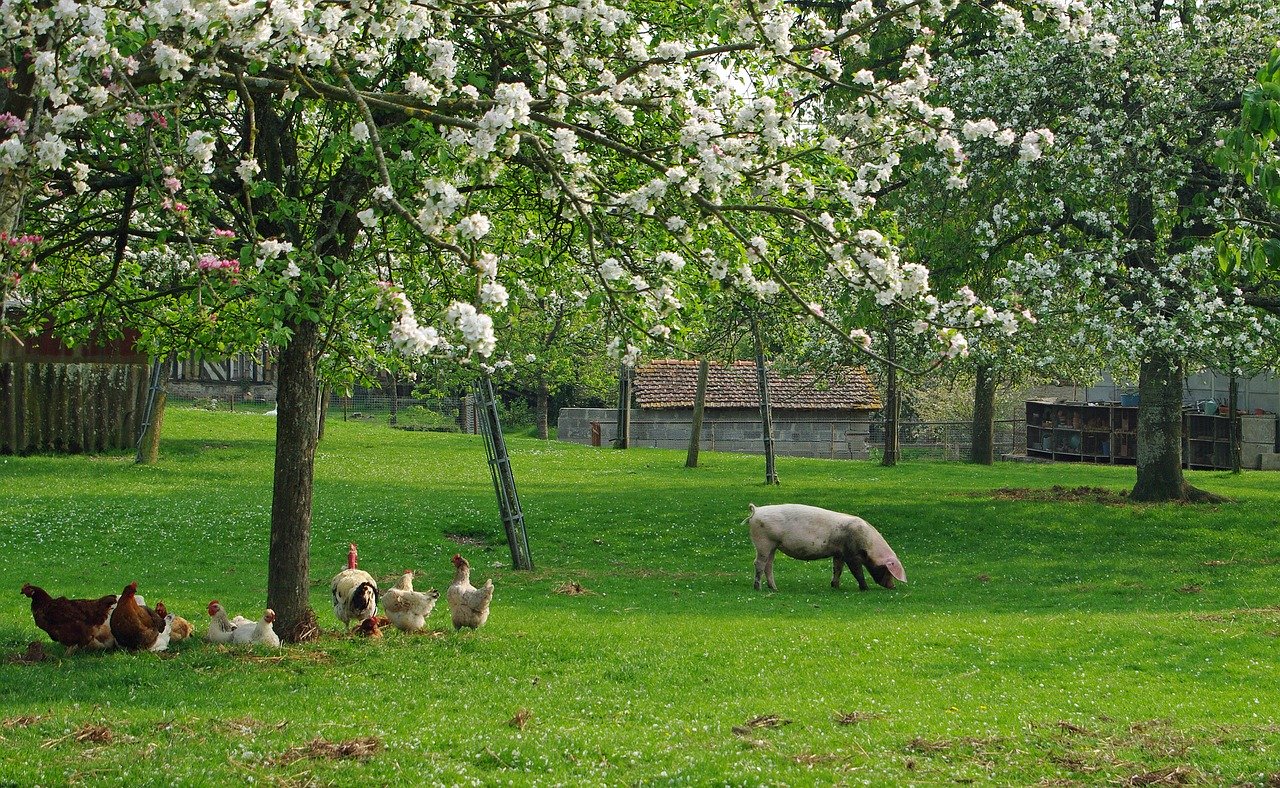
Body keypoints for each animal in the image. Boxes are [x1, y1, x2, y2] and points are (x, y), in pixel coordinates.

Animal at [747, 504, 906, 591]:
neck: (869, 545)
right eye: (888, 570)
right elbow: (857, 571)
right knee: (759, 563)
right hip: (763, 542)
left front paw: (835, 586)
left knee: (769, 565)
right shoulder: (851, 554)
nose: (893, 586)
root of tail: (756, 511)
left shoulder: (839, 553)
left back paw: (774, 588)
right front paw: (865, 588)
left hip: (773, 545)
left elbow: (837, 569)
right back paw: (758, 588)